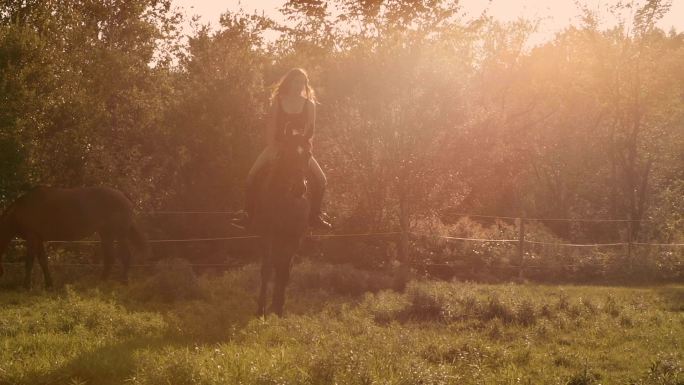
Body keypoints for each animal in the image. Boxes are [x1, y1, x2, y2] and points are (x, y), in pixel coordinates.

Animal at [0, 186, 147, 288]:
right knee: (111, 257)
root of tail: (125, 198)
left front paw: (26, 286)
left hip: (118, 234)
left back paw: (123, 282)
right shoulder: (38, 239)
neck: (21, 210)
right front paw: (49, 284)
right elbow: (43, 261)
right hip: (106, 234)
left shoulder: (32, 238)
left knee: (124, 256)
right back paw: (103, 281)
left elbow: (29, 262)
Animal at [252, 132, 314, 316]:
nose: (300, 188)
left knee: (283, 266)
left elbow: (285, 270)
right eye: (286, 153)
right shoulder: (267, 234)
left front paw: (278, 308)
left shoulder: (295, 237)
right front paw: (261, 308)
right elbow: (266, 269)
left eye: (308, 154)